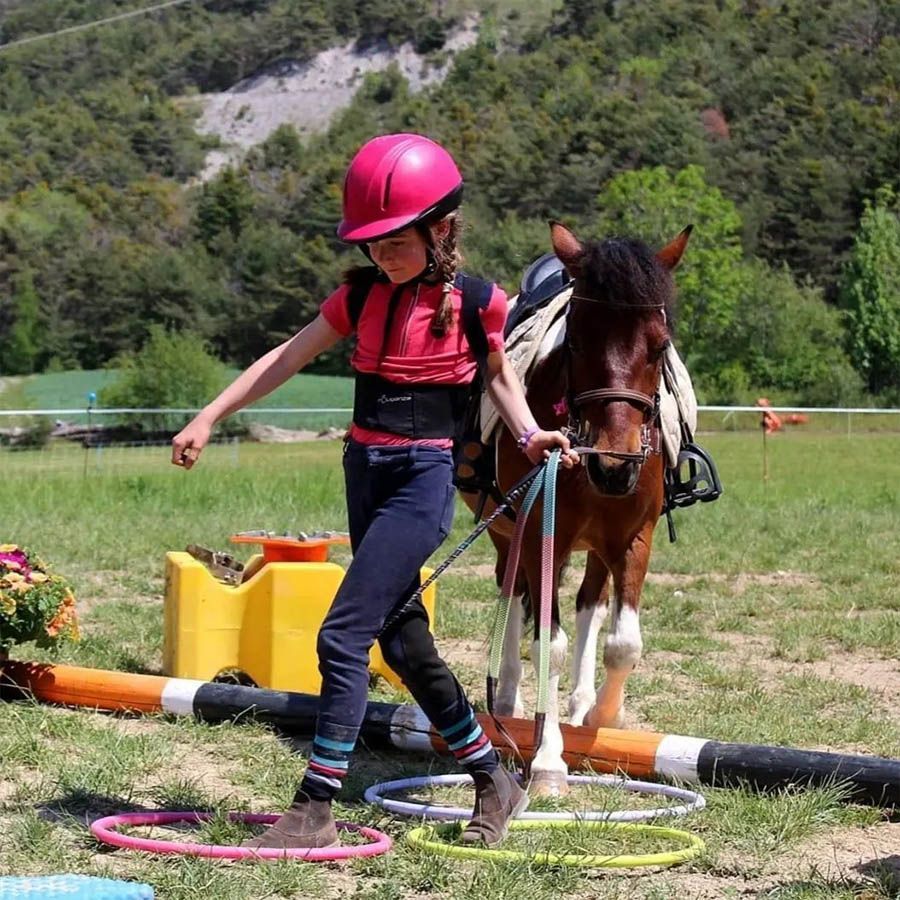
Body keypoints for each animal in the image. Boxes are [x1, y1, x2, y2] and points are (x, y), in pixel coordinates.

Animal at [463, 220, 691, 795]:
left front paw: (603, 719)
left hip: (597, 545)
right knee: (513, 596)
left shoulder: (634, 537)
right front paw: (548, 761)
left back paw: (581, 703)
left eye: (660, 346)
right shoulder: (542, 536)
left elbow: (623, 642)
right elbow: (548, 640)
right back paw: (509, 701)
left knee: (592, 602)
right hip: (510, 536)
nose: (614, 466)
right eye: (579, 339)